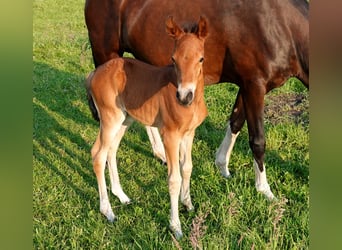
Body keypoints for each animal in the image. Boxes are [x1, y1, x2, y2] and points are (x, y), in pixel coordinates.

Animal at [84, 0, 308, 200]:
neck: (280, 24)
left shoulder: (247, 86)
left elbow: (235, 122)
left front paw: (223, 166)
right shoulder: (254, 85)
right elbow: (257, 140)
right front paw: (265, 189)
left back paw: (160, 154)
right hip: (107, 55)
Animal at [85, 15, 208, 238]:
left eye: (201, 59)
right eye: (173, 59)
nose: (184, 96)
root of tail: (94, 74)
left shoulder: (189, 133)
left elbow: (187, 167)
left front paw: (188, 204)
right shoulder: (170, 135)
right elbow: (174, 179)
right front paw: (176, 226)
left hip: (124, 119)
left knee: (111, 151)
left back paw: (121, 195)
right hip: (110, 119)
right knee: (98, 154)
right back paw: (107, 210)